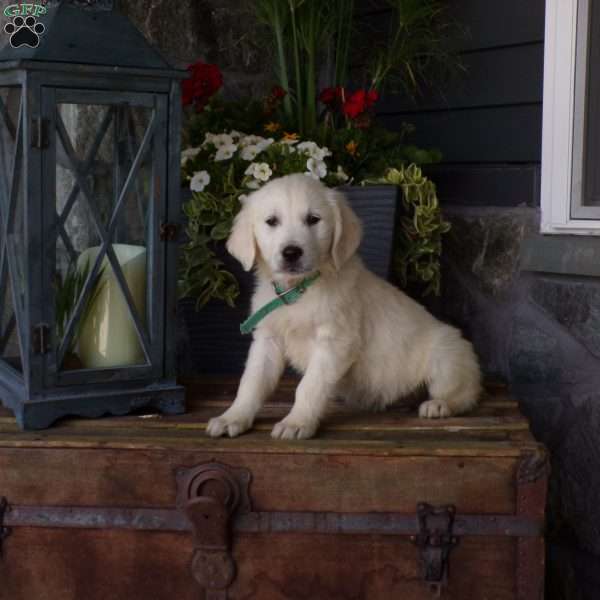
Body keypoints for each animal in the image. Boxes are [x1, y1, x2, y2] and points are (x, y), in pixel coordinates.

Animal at [207, 173, 482, 440]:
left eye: (313, 219)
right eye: (271, 221)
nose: (291, 252)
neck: (299, 291)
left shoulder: (335, 342)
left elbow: (308, 386)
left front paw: (297, 422)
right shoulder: (267, 339)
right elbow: (251, 382)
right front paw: (233, 417)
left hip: (446, 357)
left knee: (467, 394)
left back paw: (439, 405)